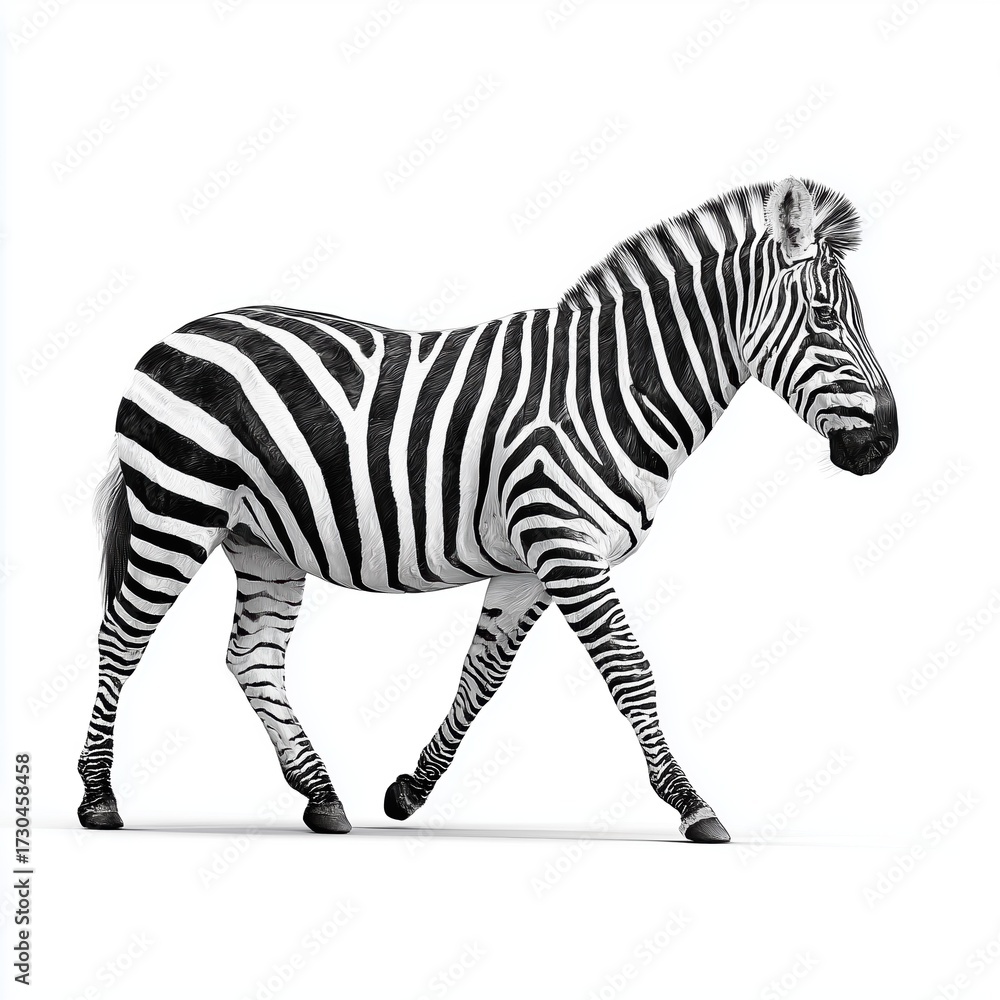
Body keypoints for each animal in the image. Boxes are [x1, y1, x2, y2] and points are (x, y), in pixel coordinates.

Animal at [78, 177, 897, 843]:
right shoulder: (564, 543)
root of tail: (175, 334)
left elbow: (484, 674)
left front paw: (409, 791)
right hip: (176, 508)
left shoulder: (532, 563)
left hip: (260, 538)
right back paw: (98, 798)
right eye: (825, 318)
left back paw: (322, 796)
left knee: (252, 657)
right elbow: (630, 668)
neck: (614, 389)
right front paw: (693, 804)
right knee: (121, 637)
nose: (885, 444)